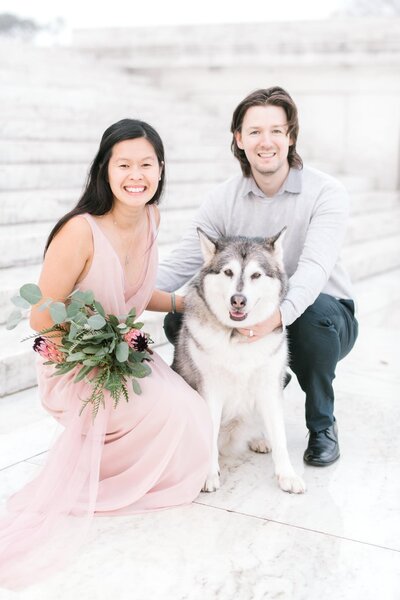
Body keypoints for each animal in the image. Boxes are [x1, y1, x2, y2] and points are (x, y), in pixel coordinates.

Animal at [172, 227, 306, 494]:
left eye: (256, 275)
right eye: (228, 272)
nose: (238, 300)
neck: (237, 337)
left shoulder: (269, 386)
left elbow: (280, 437)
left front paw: (287, 475)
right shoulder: (210, 390)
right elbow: (209, 434)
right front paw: (209, 475)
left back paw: (259, 439)